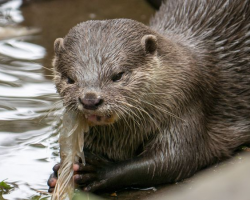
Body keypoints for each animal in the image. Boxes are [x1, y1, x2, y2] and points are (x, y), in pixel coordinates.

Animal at [47, 0, 250, 194]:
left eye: (118, 75)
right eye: (70, 79)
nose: (90, 99)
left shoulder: (187, 102)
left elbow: (175, 160)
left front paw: (98, 171)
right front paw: (57, 174)